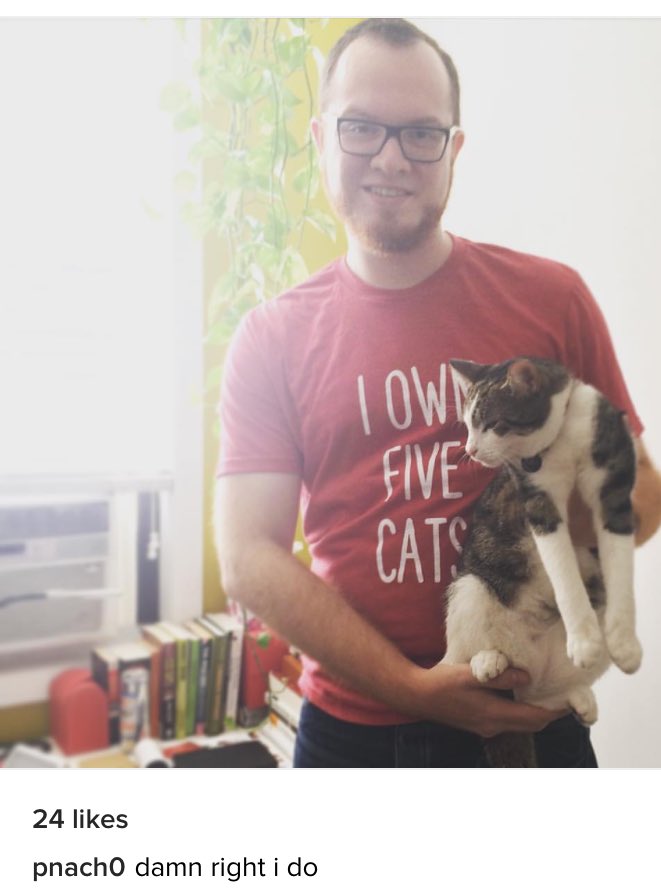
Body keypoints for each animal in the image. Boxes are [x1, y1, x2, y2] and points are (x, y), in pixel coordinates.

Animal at [441, 356, 642, 767]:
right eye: (467, 424)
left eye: (493, 424)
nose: (470, 450)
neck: (563, 439)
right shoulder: (538, 503)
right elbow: (563, 572)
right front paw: (582, 634)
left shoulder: (615, 492)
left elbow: (619, 567)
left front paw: (624, 641)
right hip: (469, 588)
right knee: (465, 656)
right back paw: (487, 661)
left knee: (543, 701)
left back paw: (580, 696)